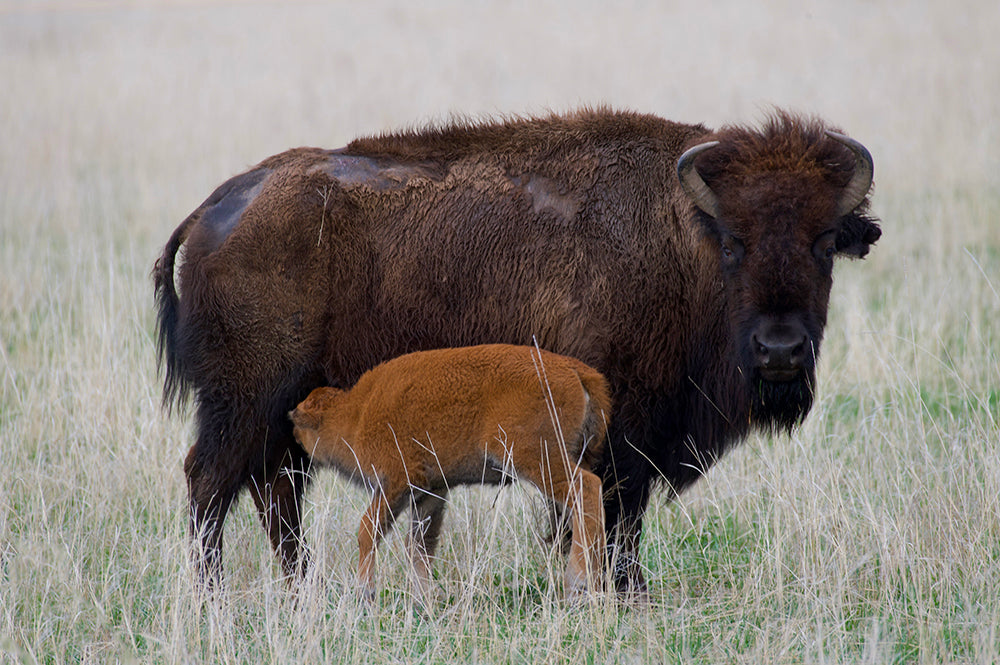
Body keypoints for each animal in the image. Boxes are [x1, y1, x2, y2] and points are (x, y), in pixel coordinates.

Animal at [286, 344, 604, 600]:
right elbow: (420, 547)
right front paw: (424, 600)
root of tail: (575, 370)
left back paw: (577, 582)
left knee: (586, 490)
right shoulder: (430, 493)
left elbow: (368, 531)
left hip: (537, 461)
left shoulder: (397, 484)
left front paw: (366, 592)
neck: (357, 412)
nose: (293, 424)